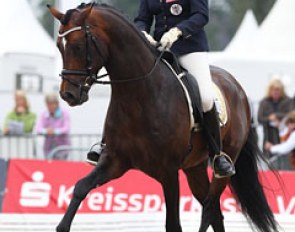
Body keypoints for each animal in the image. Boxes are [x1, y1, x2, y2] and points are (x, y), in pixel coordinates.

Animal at [49, 3, 280, 232]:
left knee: (209, 207)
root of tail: (237, 87)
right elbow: (80, 188)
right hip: (194, 167)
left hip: (224, 163)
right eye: (59, 46)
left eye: (78, 46)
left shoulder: (168, 172)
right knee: (214, 212)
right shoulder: (114, 161)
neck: (139, 96)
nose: (68, 95)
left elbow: (173, 224)